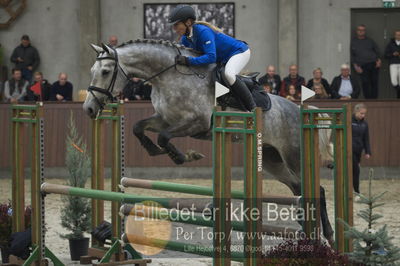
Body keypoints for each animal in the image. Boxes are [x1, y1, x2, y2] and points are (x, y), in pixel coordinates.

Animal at [82, 39, 334, 241]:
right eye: (93, 69)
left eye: (105, 71)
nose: (89, 109)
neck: (168, 77)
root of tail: (299, 110)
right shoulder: (164, 119)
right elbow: (138, 128)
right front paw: (160, 152)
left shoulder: (197, 124)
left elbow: (164, 137)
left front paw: (184, 156)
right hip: (274, 161)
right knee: (299, 189)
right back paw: (307, 229)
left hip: (294, 157)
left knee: (317, 190)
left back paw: (328, 235)